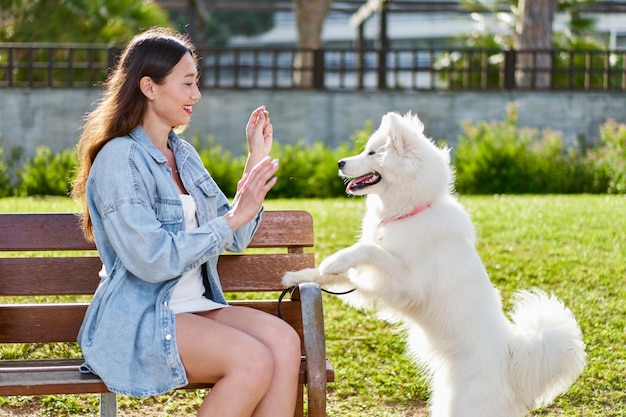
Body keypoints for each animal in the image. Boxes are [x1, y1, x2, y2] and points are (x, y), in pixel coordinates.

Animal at [282, 110, 584, 416]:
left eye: (372, 152)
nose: (339, 163)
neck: (408, 213)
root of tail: (512, 359)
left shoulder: (406, 285)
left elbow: (369, 249)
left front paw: (334, 259)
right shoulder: (374, 284)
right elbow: (334, 275)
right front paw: (297, 275)